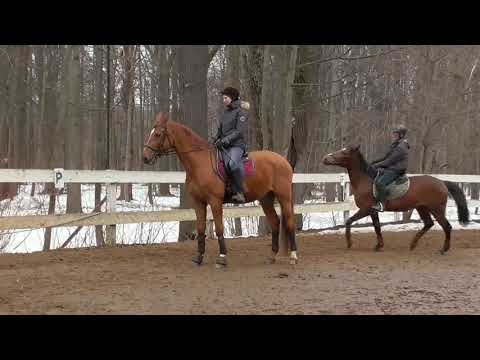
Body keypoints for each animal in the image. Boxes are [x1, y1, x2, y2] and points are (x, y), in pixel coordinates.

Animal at [142, 112, 296, 268]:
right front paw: (199, 257)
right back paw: (272, 256)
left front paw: (222, 258)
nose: (145, 157)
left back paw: (293, 256)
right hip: (266, 199)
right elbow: (201, 228)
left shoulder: (215, 202)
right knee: (275, 222)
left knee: (290, 222)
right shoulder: (199, 203)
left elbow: (219, 228)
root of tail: (283, 160)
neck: (200, 163)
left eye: (158, 134)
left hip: (284, 197)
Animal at [322, 144, 468, 253]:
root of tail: (442, 182)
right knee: (428, 224)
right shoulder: (373, 211)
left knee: (446, 226)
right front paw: (379, 245)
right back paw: (412, 244)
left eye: (344, 152)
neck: (365, 180)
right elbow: (377, 227)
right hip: (422, 208)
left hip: (436, 209)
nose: (325, 158)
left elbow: (349, 221)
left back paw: (444, 249)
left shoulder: (366, 209)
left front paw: (349, 243)